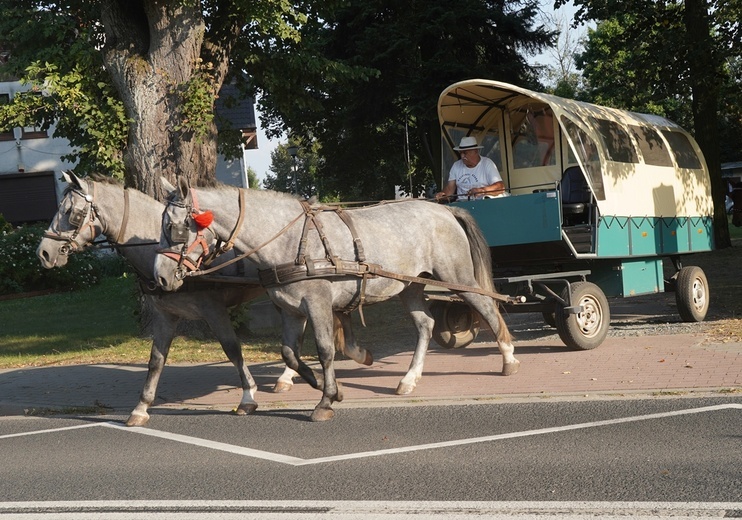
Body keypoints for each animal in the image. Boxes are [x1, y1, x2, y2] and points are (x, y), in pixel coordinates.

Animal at [35, 173, 372, 424]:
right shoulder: (165, 316)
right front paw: (141, 408)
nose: (44, 253)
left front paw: (248, 396)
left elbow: (232, 349)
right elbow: (156, 360)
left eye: (70, 213)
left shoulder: (213, 310)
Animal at [154, 179, 520, 422]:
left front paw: (325, 400)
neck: (289, 239)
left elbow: (325, 350)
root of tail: (445, 209)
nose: (160, 276)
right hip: (411, 287)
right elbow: (289, 353)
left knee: (488, 309)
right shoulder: (290, 310)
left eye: (175, 226)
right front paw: (326, 386)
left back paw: (509, 359)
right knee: (425, 324)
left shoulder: (316, 303)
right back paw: (409, 379)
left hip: (458, 278)